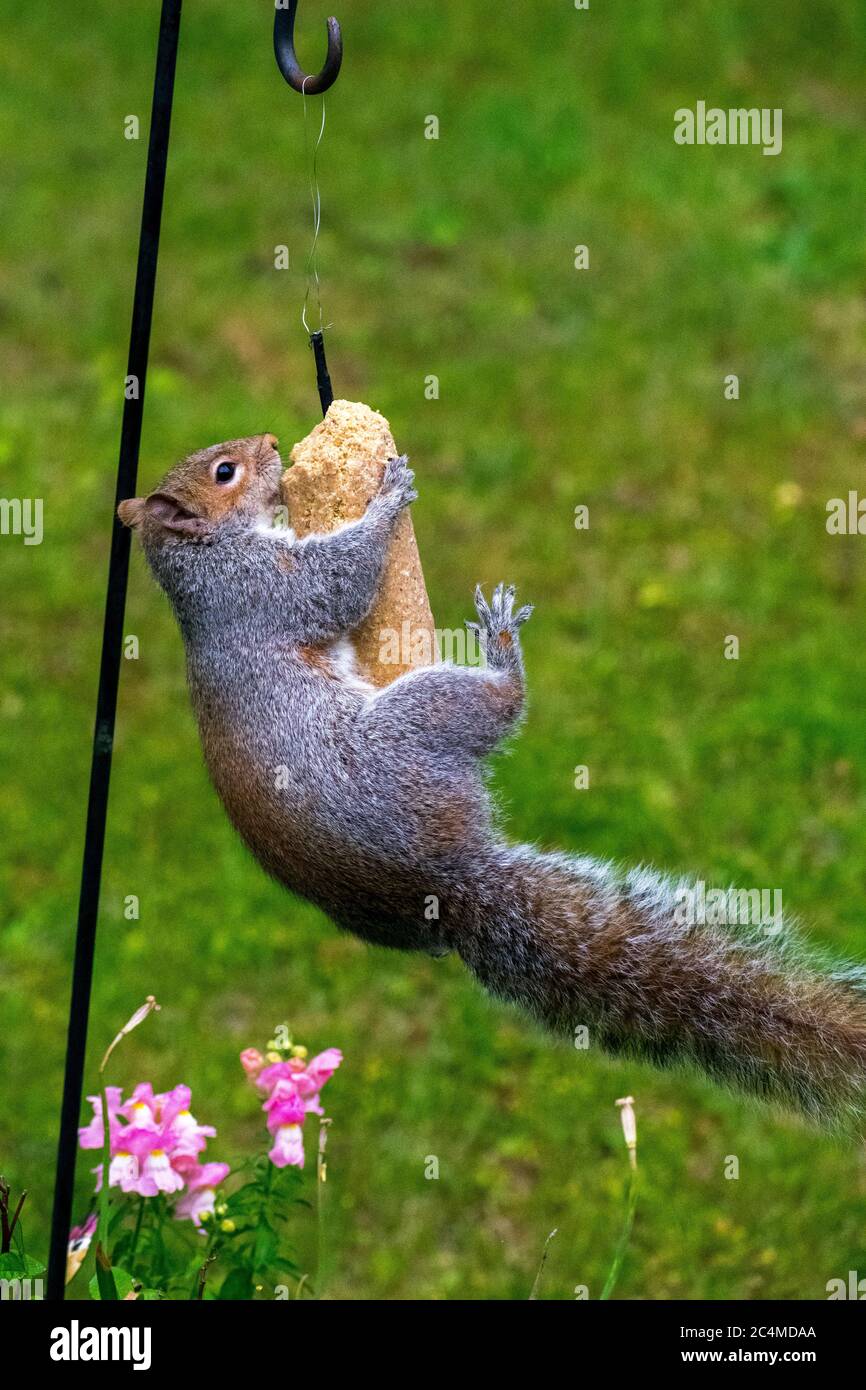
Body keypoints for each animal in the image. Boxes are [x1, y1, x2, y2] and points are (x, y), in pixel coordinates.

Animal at [119, 433, 866, 1128]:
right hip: (410, 728)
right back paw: (502, 651)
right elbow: (338, 578)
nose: (273, 442)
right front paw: (388, 496)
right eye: (225, 472)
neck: (204, 558)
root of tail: (446, 877)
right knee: (499, 705)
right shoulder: (264, 587)